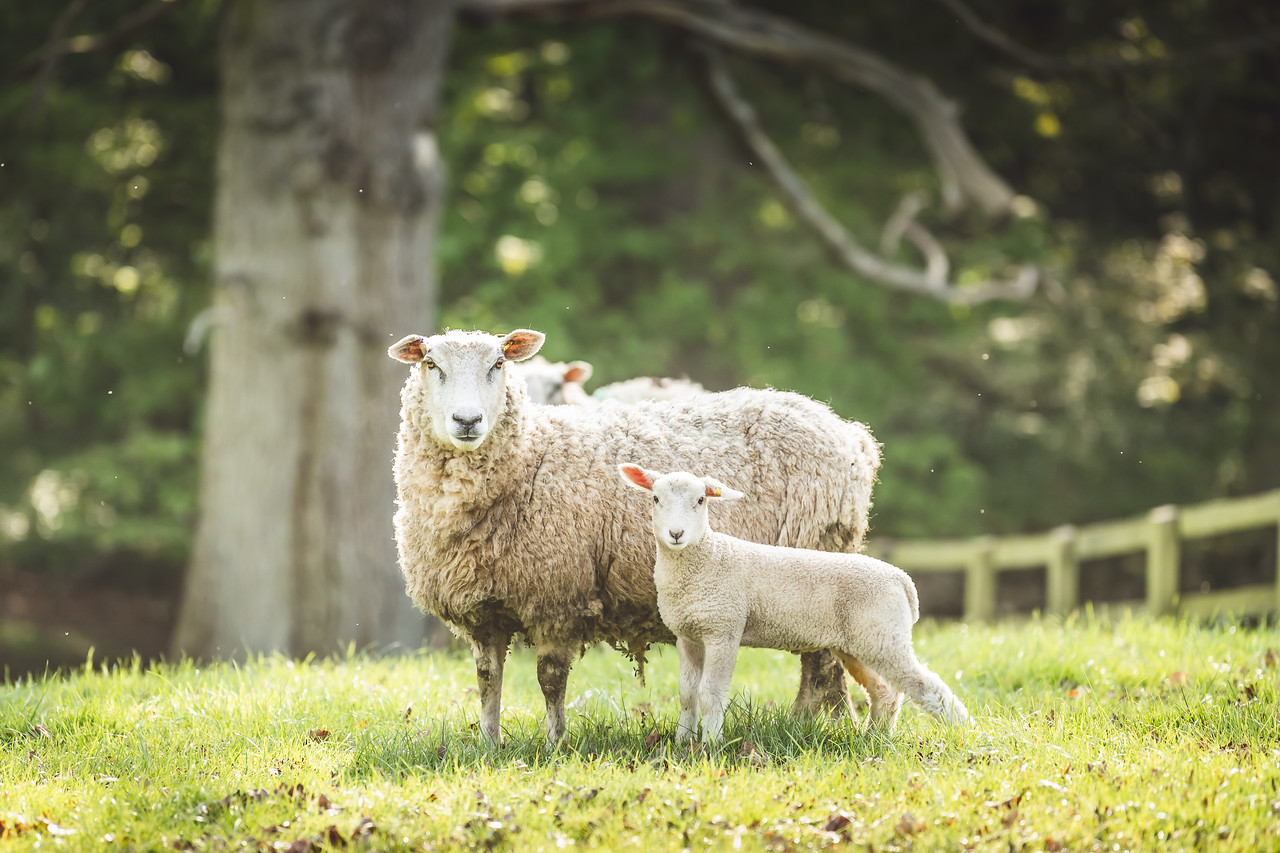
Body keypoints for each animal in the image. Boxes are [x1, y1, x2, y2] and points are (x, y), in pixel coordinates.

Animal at [388, 328, 881, 745]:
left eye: (498, 363)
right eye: (430, 363)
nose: (467, 420)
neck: (532, 452)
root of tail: (850, 432)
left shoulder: (557, 597)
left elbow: (550, 679)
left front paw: (554, 744)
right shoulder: (483, 609)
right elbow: (487, 680)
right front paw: (489, 746)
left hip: (818, 559)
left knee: (821, 663)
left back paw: (816, 725)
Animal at [618, 463, 969, 744]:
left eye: (701, 500)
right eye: (655, 499)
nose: (676, 534)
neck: (705, 557)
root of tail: (903, 580)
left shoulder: (724, 629)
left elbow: (710, 693)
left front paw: (710, 745)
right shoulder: (688, 635)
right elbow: (688, 693)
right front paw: (682, 743)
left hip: (884, 637)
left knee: (929, 687)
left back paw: (963, 732)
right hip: (861, 642)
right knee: (885, 691)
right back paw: (874, 738)